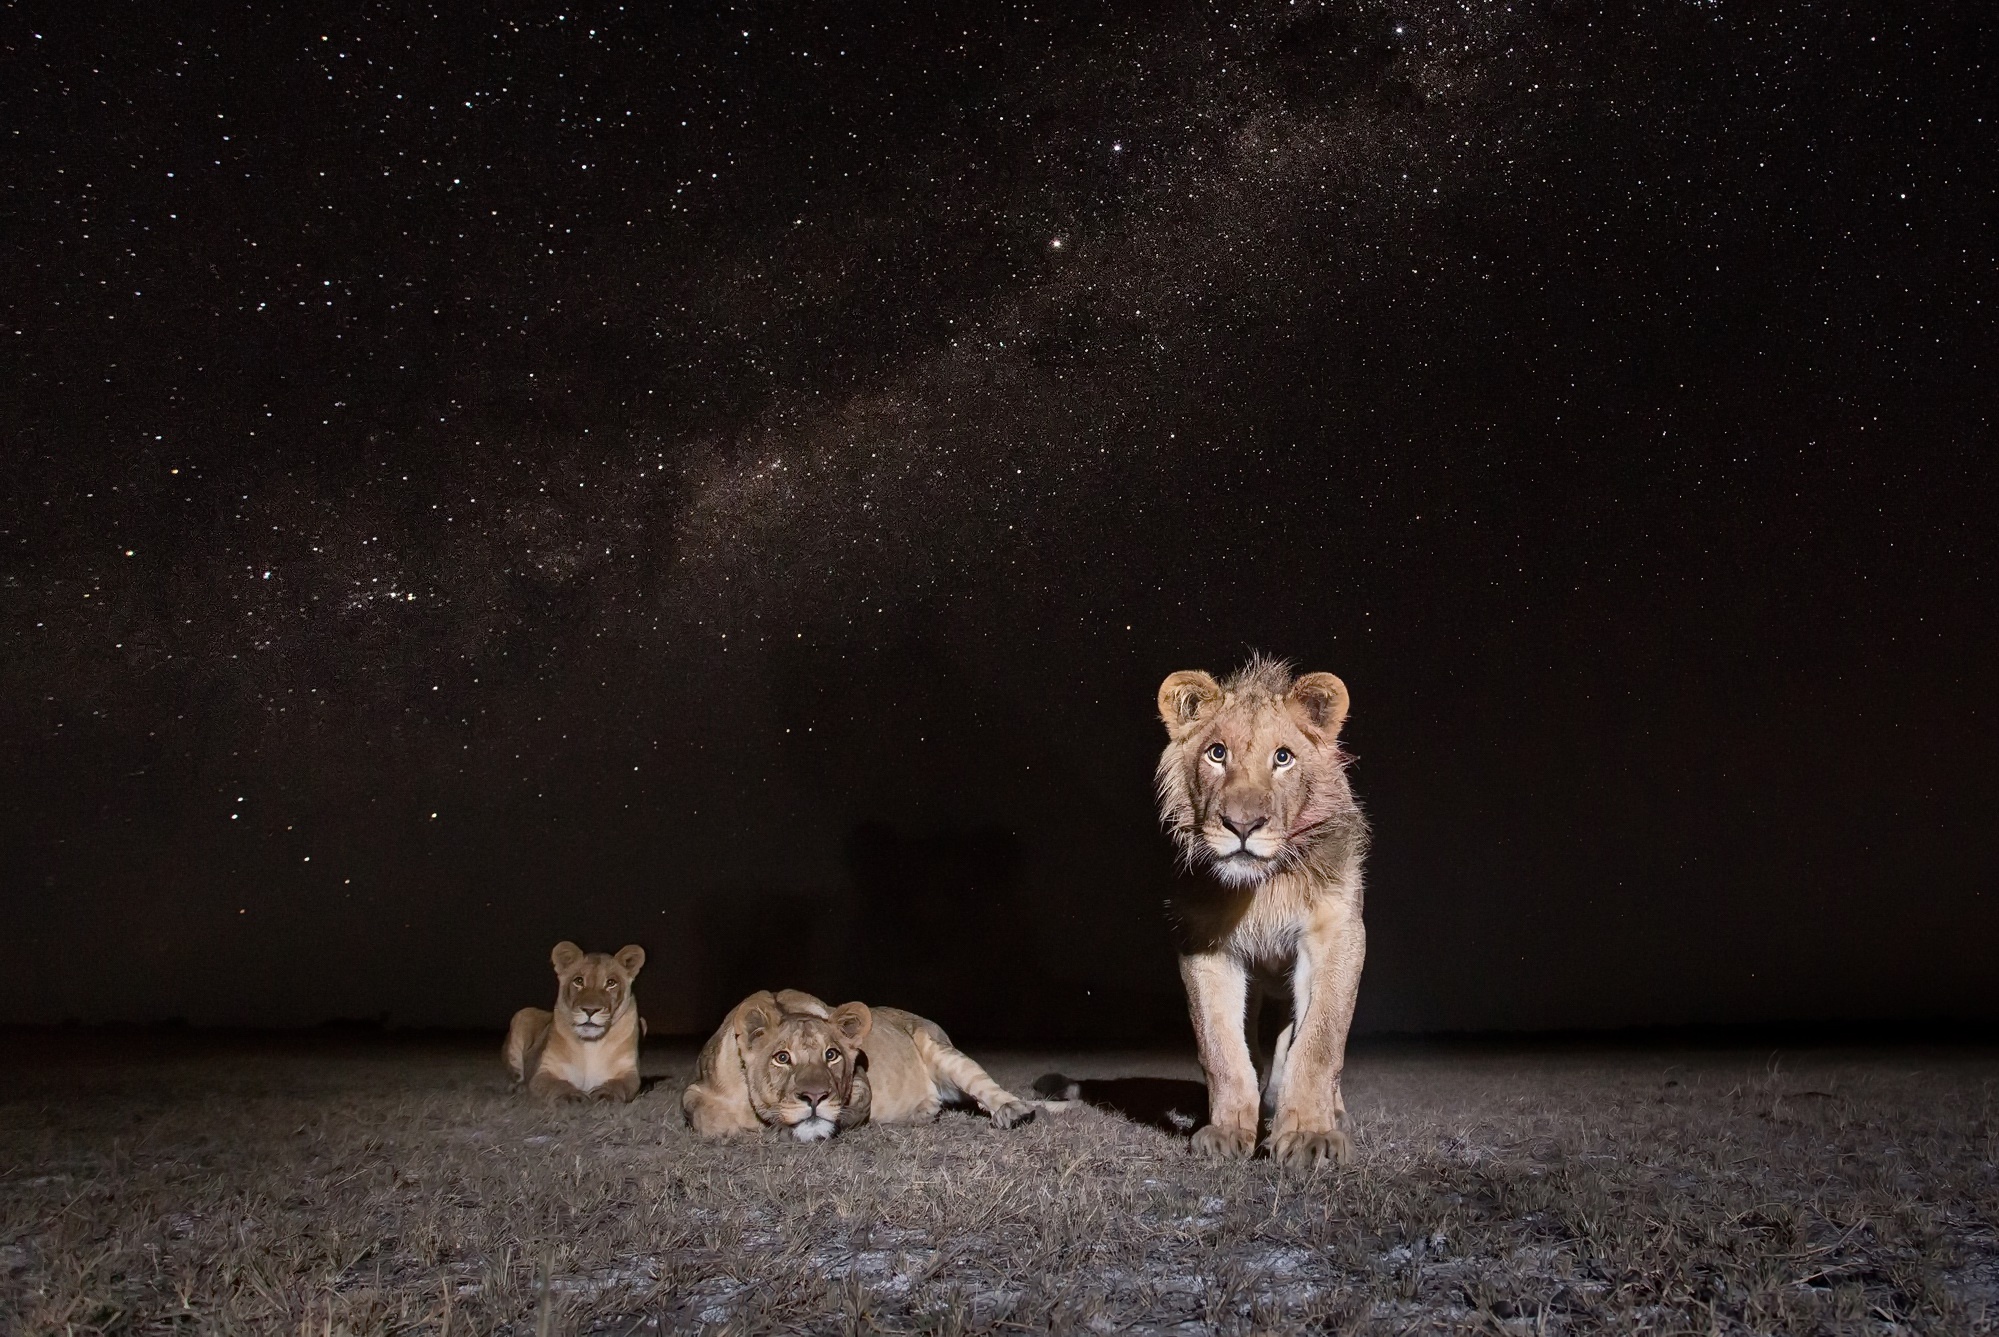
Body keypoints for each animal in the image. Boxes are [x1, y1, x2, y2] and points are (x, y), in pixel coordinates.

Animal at [503, 939, 643, 1095]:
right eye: (579, 981)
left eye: (611, 983)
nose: (590, 1010)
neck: (590, 1045)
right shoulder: (543, 1071)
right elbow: (557, 1086)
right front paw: (572, 1096)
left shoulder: (629, 1072)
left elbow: (619, 1086)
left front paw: (604, 1094)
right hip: (522, 1014)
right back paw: (518, 1088)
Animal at [1159, 655, 1375, 1167]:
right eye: (1217, 753)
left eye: (1283, 758)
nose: (1242, 825)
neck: (1263, 888)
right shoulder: (1205, 947)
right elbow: (1222, 1050)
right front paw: (1226, 1130)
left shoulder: (1335, 936)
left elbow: (1318, 1044)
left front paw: (1312, 1136)